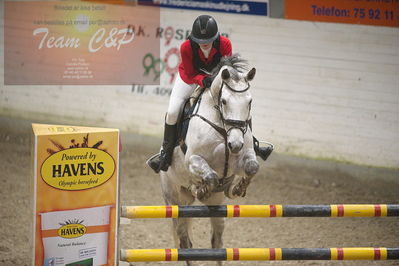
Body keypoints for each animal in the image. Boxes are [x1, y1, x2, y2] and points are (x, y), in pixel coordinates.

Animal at [159, 55, 260, 264]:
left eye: (250, 102)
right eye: (224, 101)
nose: (235, 145)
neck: (223, 128)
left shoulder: (242, 158)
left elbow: (252, 167)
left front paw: (237, 188)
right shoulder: (194, 160)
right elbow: (211, 176)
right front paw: (201, 189)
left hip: (217, 206)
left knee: (217, 242)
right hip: (175, 202)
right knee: (184, 242)